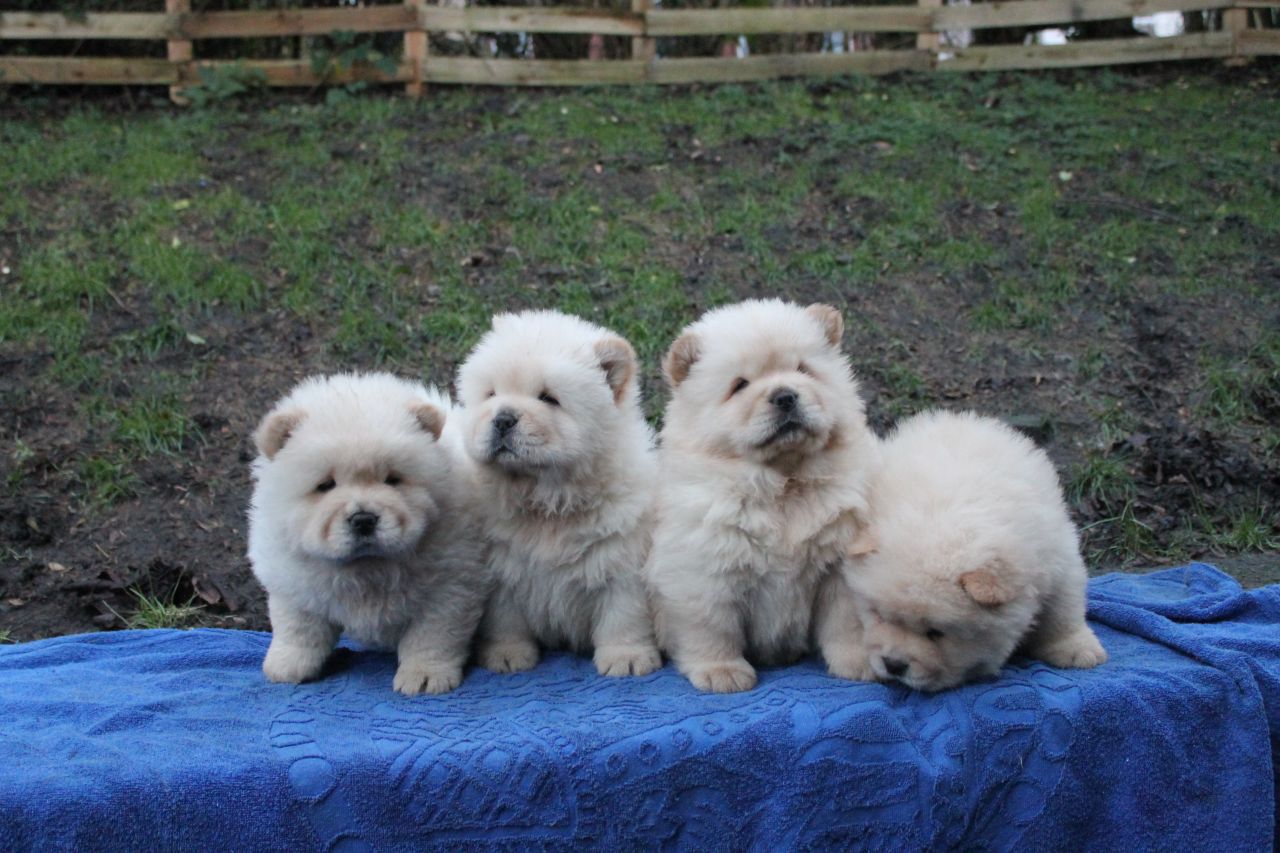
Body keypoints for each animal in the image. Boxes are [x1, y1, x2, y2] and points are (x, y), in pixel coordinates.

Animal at [248, 371, 488, 691]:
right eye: (325, 485)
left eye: (393, 479)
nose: (363, 519)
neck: (367, 569)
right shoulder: (294, 583)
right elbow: (298, 629)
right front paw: (287, 667)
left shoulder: (451, 585)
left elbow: (432, 636)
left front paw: (424, 676)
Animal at [455, 308, 660, 676]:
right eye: (491, 394)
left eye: (549, 398)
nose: (502, 419)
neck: (547, 503)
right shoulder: (501, 567)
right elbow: (505, 620)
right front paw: (506, 656)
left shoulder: (622, 557)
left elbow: (623, 615)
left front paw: (627, 659)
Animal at [650, 298, 880, 691]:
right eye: (740, 385)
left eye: (803, 369)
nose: (785, 396)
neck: (784, 485)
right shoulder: (706, 568)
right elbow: (713, 626)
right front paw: (722, 673)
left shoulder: (838, 563)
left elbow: (845, 621)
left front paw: (858, 664)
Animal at [819, 407, 1111, 691]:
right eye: (879, 616)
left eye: (935, 633)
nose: (893, 664)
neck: (950, 513)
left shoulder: (1056, 556)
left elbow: (1063, 611)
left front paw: (1079, 650)